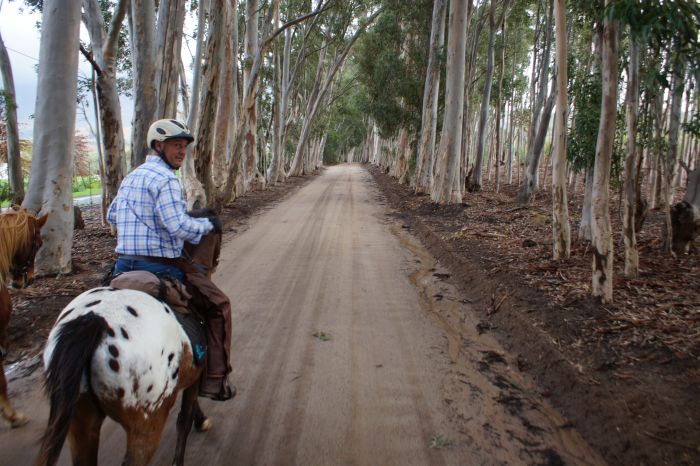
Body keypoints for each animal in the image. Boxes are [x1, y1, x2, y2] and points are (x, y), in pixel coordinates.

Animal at [34, 222, 221, 466]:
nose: (215, 262)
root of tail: (93, 320)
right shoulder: (194, 378)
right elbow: (184, 421)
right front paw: (200, 422)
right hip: (147, 421)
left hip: (80, 418)